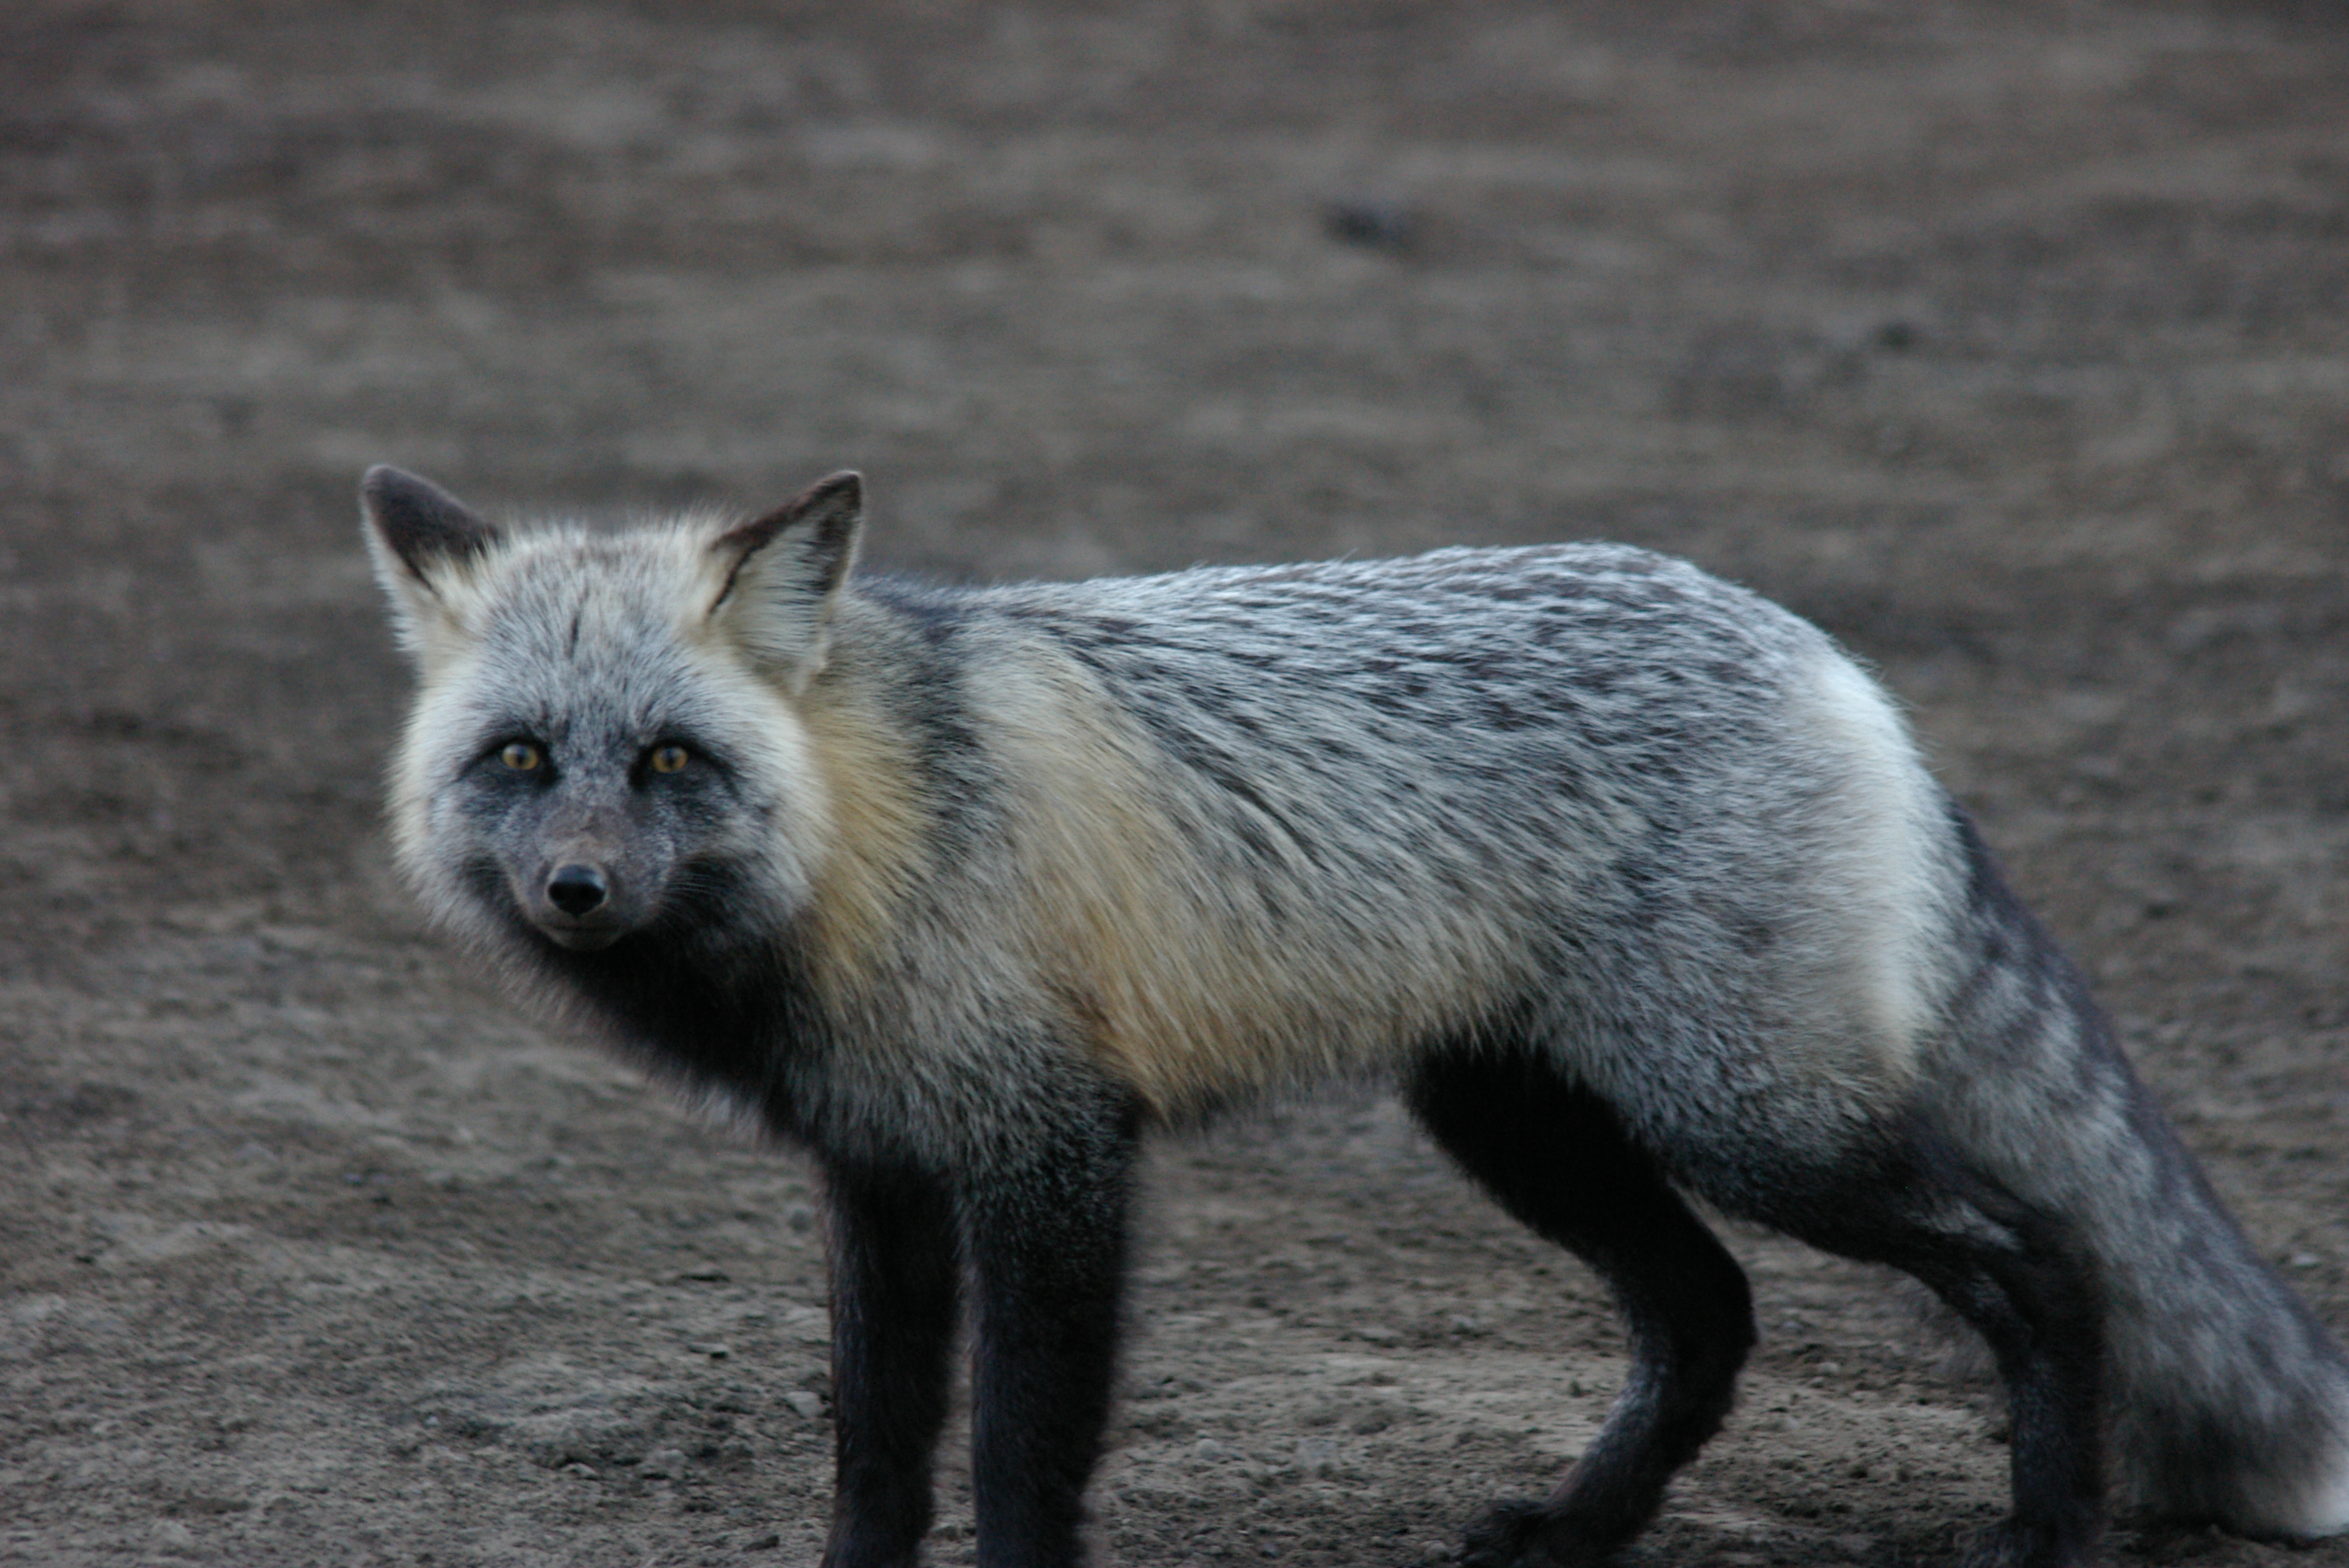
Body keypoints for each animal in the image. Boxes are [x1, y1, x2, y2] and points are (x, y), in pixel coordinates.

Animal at [359, 463, 2349, 1568]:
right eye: (518, 758)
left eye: (669, 761)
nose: (576, 889)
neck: (872, 831)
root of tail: (1819, 651)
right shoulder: (881, 1169)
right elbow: (877, 1447)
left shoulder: (1052, 1154)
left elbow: (1013, 1450)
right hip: (1513, 1115)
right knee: (1707, 1312)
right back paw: (1574, 1529)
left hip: (1749, 1117)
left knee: (2044, 1259)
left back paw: (2044, 1526)